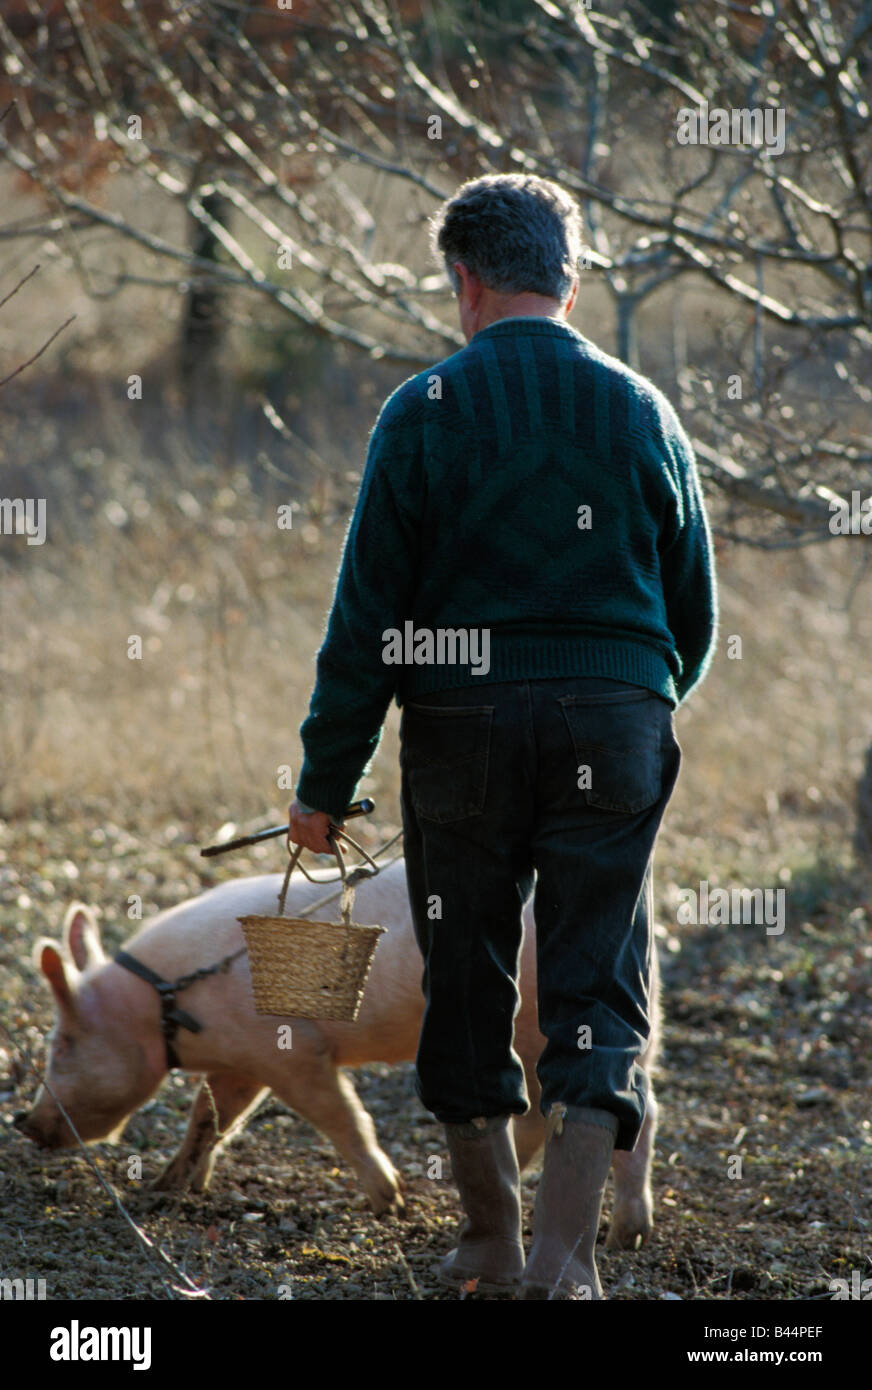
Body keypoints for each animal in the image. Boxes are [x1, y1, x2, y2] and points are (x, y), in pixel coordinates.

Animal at [13, 860, 659, 1249]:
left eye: (63, 1043)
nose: (24, 1122)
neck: (167, 1003)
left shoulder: (294, 1054)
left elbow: (341, 1116)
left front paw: (389, 1201)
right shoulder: (239, 1064)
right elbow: (209, 1119)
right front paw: (170, 1190)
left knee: (592, 1115)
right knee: (629, 1112)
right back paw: (616, 1232)